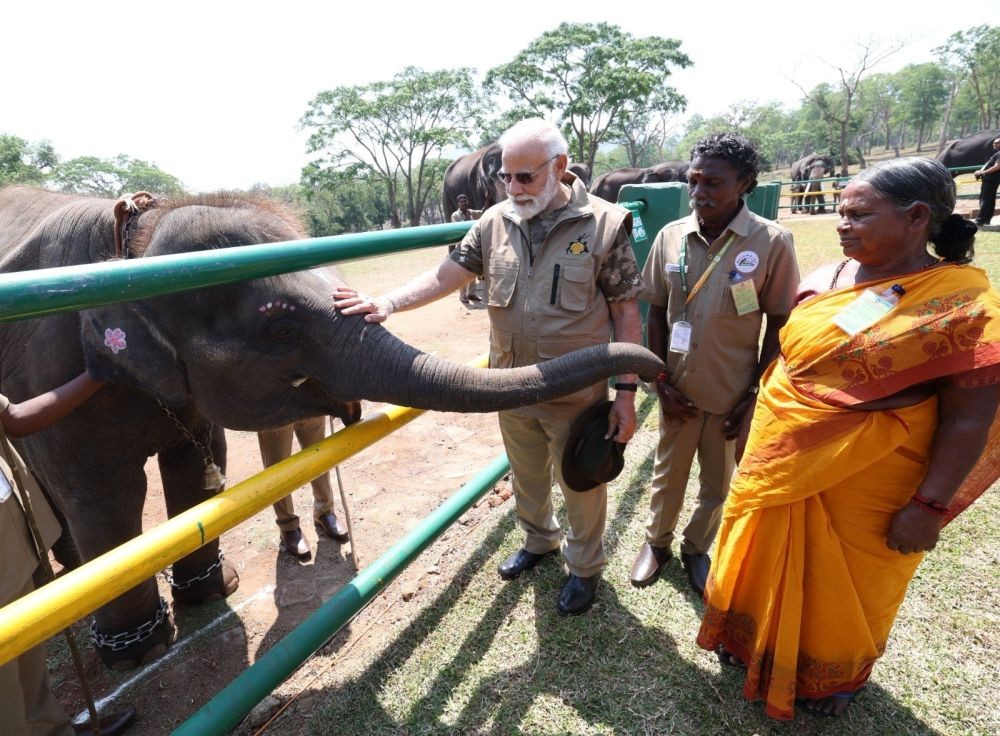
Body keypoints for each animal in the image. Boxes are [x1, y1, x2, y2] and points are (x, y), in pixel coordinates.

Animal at [0, 185, 663, 669]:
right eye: (279, 330)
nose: (654, 367)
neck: (132, 248)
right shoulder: (49, 372)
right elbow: (102, 493)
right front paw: (140, 651)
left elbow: (197, 466)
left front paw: (213, 592)